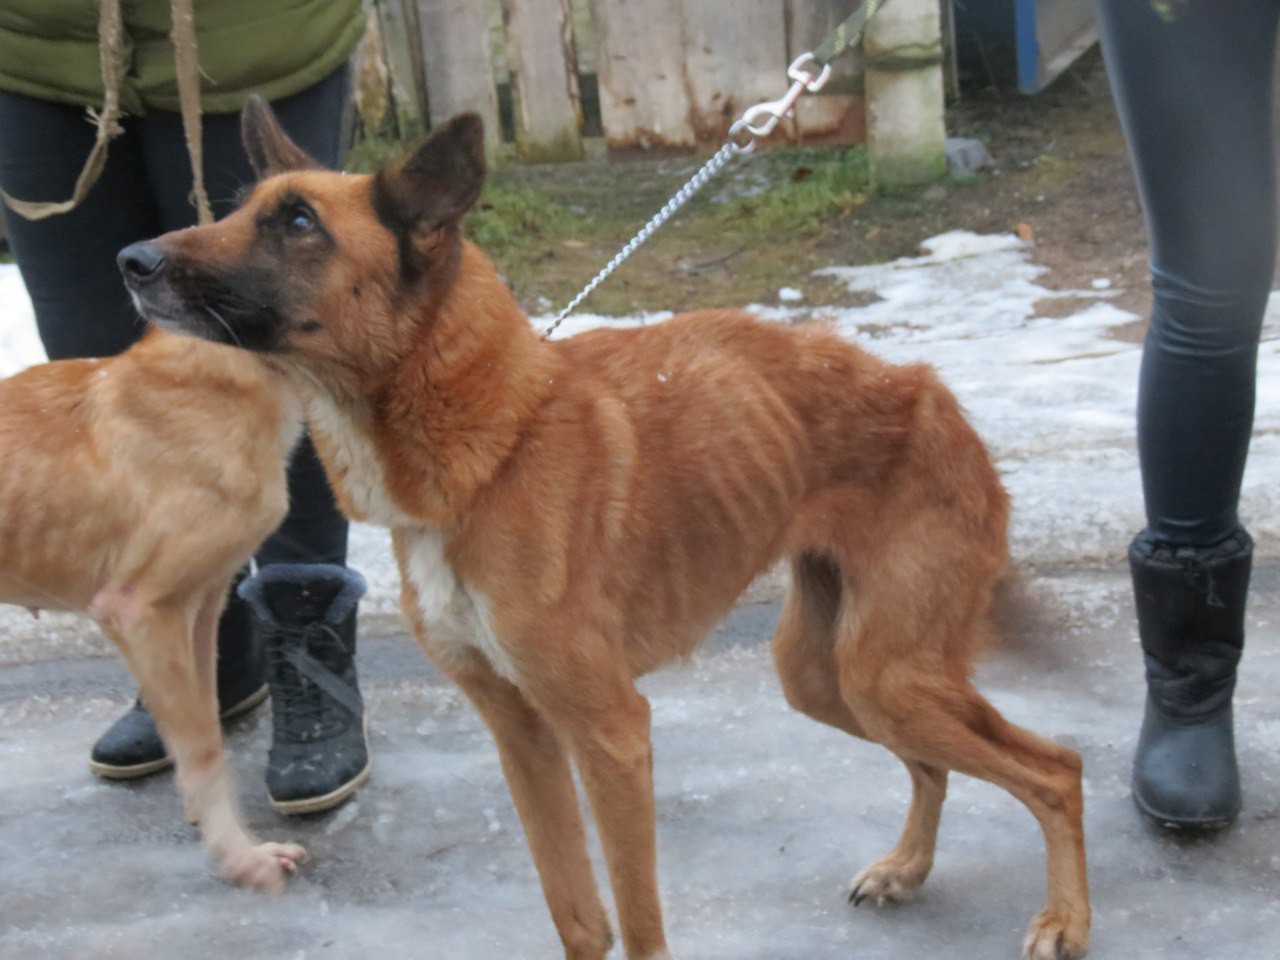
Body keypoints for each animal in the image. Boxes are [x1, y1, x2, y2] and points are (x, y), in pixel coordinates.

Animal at [120, 96, 1095, 960]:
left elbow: (638, 919)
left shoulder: (612, 735)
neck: (492, 443)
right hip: (827, 677)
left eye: (296, 222)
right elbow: (578, 914)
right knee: (933, 764)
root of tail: (929, 387)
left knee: (1056, 769)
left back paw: (1065, 921)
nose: (131, 258)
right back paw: (909, 868)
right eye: (239, 207)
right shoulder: (521, 735)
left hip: (887, 674)